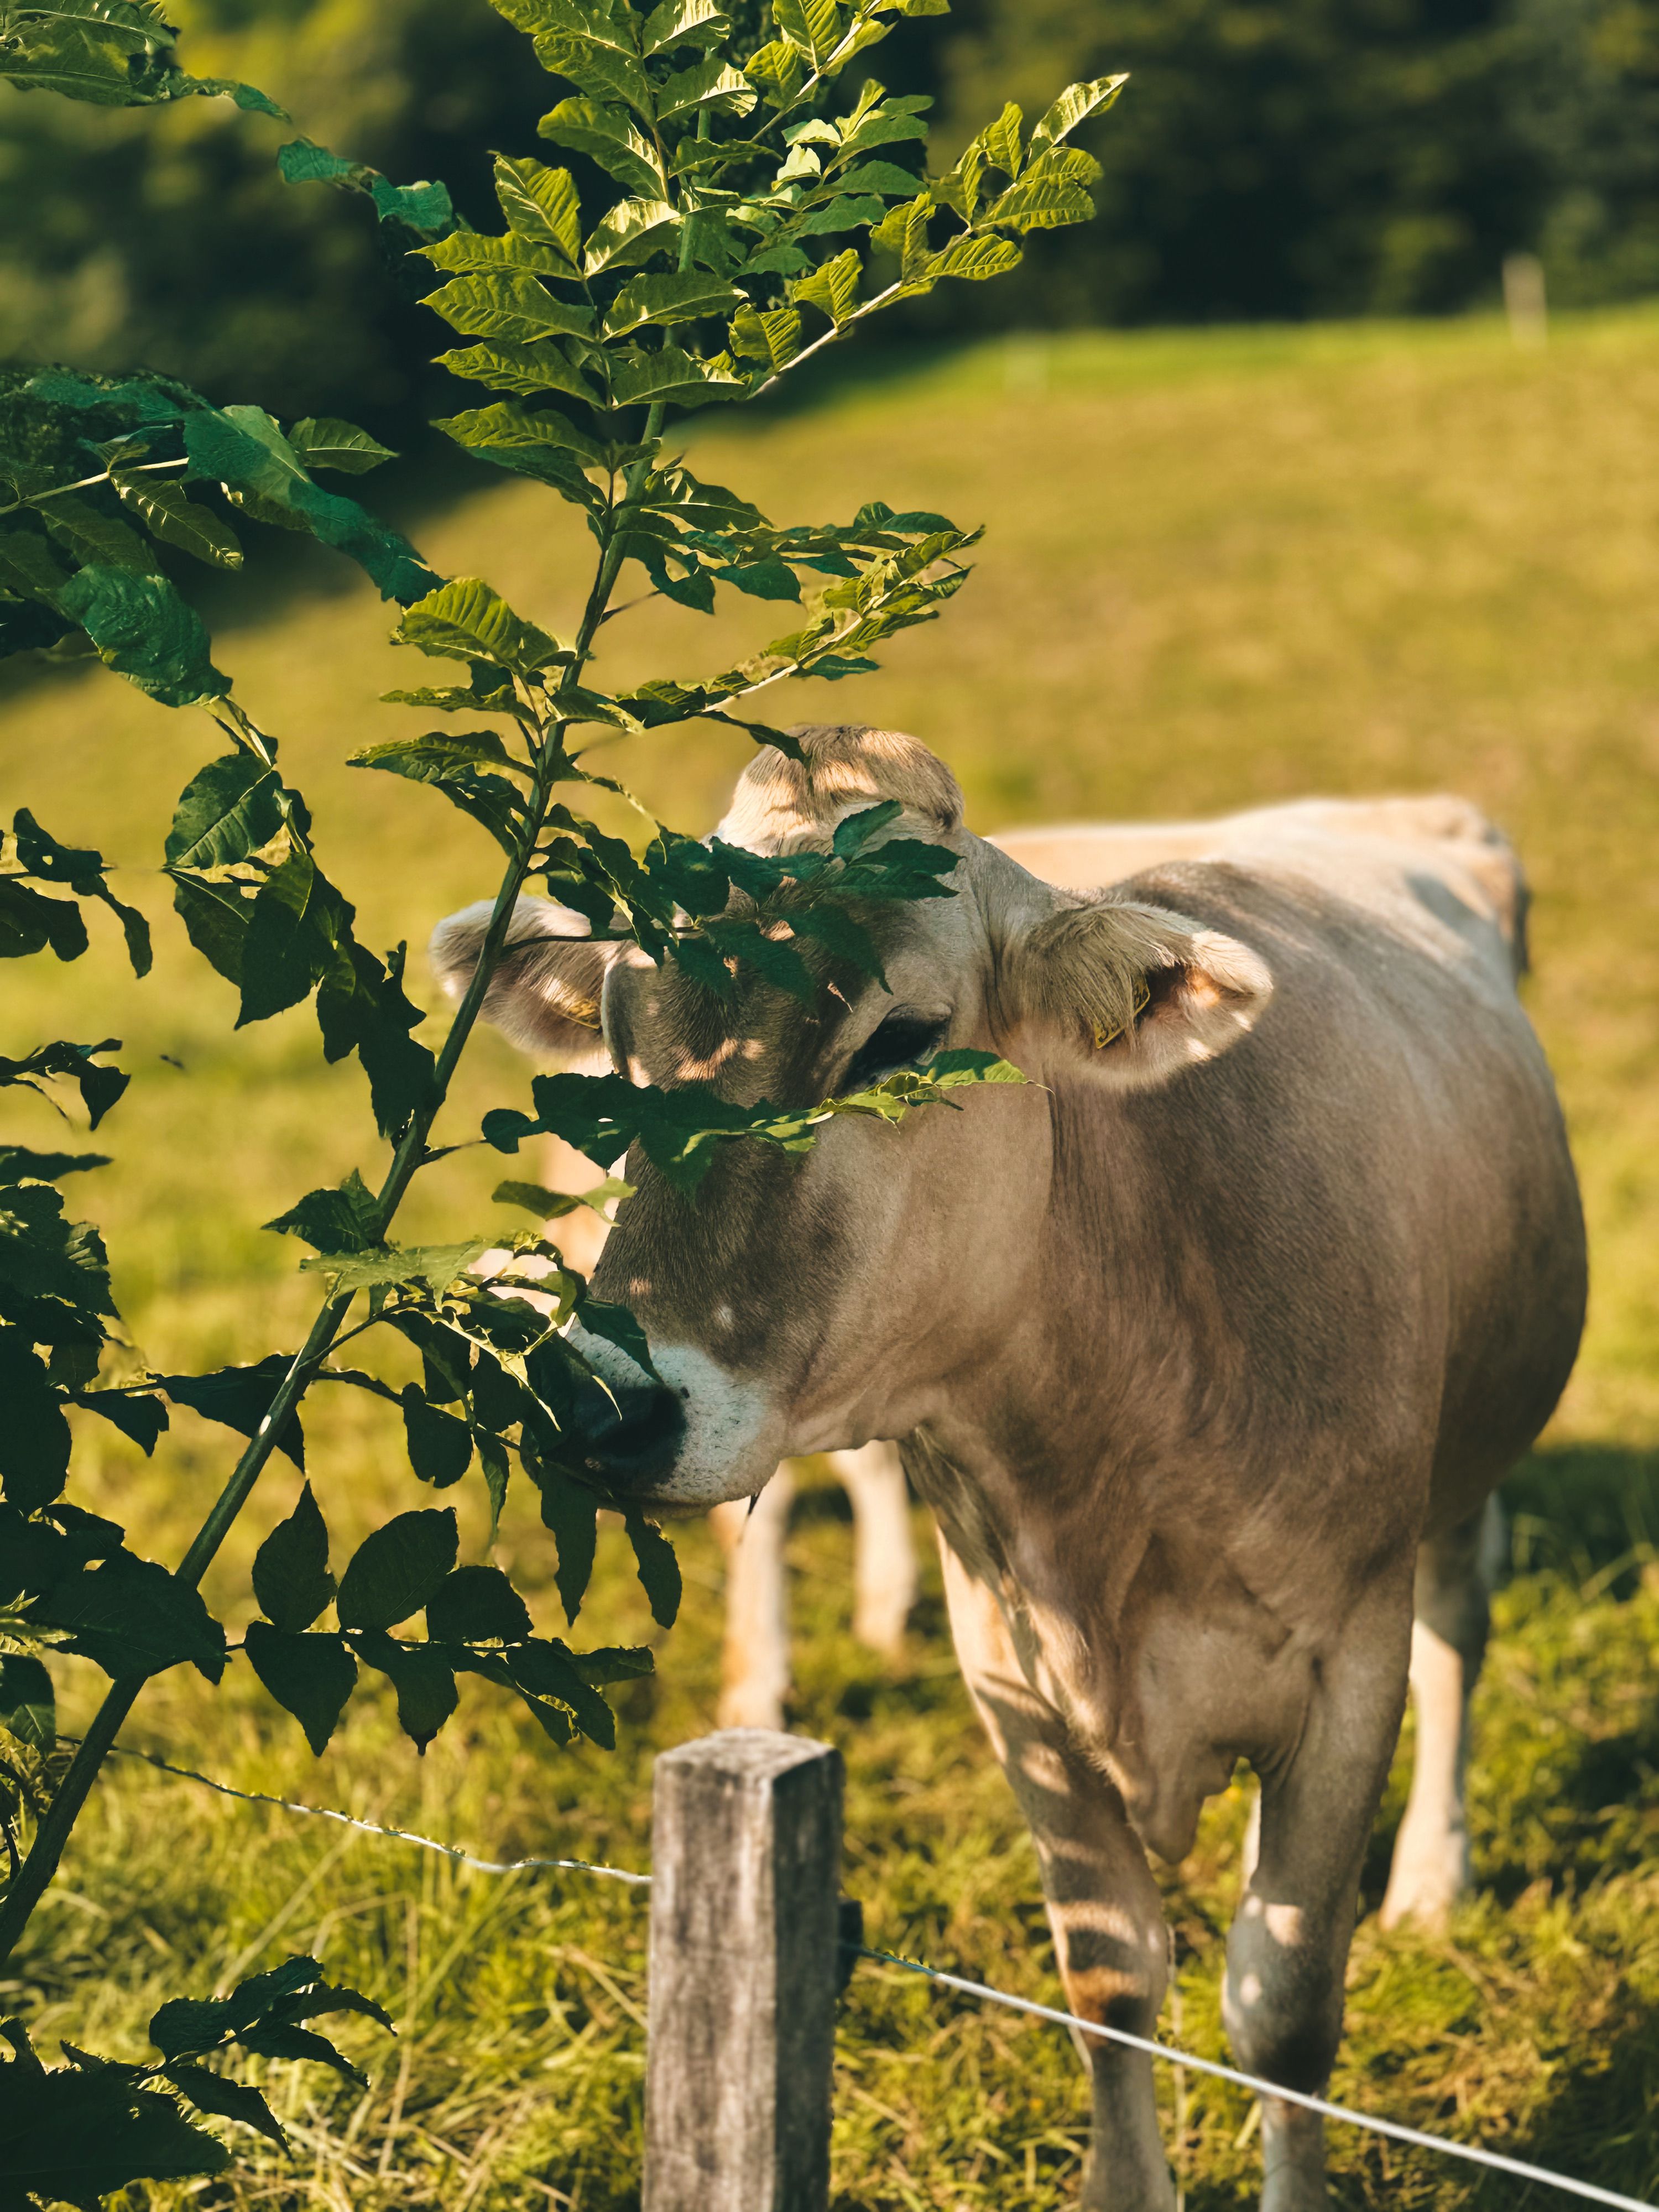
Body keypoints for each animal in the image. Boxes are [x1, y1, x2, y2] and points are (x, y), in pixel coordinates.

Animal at [433, 725, 1586, 2211]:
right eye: (624, 1052)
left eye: (899, 1039)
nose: (598, 1402)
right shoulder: (1008, 1665)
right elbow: (1108, 1978)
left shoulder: (1346, 1664)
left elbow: (1283, 2004)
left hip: (1461, 1477)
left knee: (1459, 1631)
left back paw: (1434, 1876)